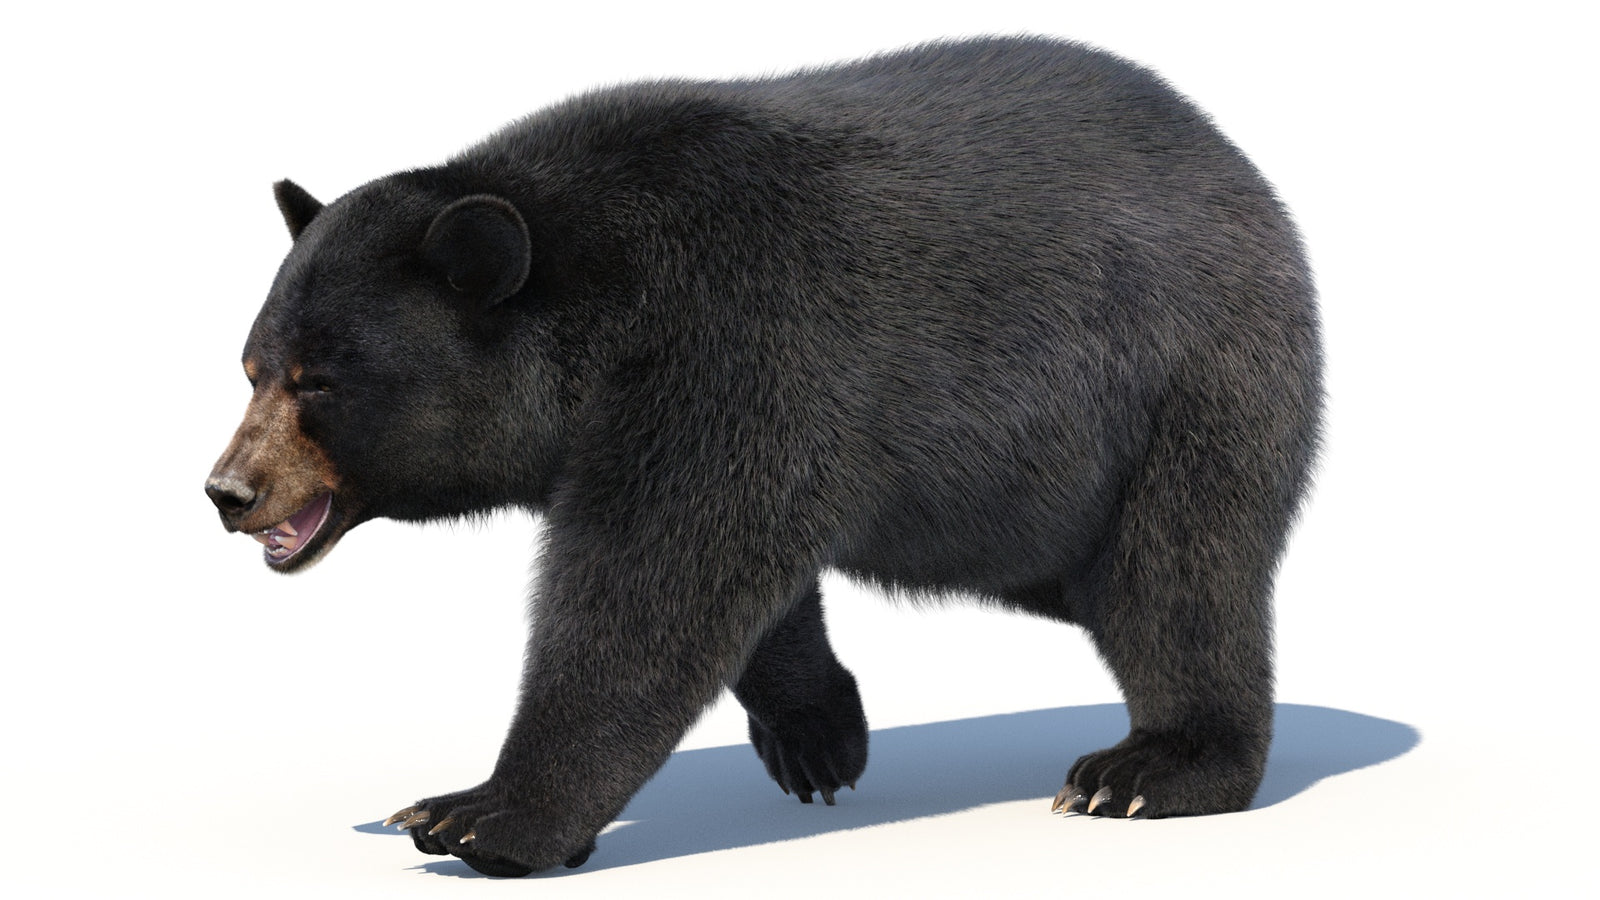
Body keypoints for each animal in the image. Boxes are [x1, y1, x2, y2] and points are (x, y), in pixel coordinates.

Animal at [205, 36, 1322, 877]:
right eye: (251, 366)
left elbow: (657, 581)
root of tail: (1245, 174)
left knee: (1180, 577)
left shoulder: (735, 336)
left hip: (1184, 386)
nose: (228, 491)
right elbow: (744, 574)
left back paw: (1147, 770)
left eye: (319, 382)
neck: (597, 301)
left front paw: (481, 814)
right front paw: (818, 734)